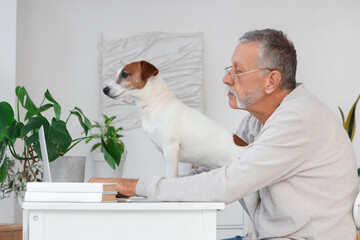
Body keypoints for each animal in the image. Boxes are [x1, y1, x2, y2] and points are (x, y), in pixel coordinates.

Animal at [102, 61, 246, 177]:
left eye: (125, 74)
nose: (104, 89)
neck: (155, 104)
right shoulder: (165, 152)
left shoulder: (170, 148)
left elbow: (171, 176)